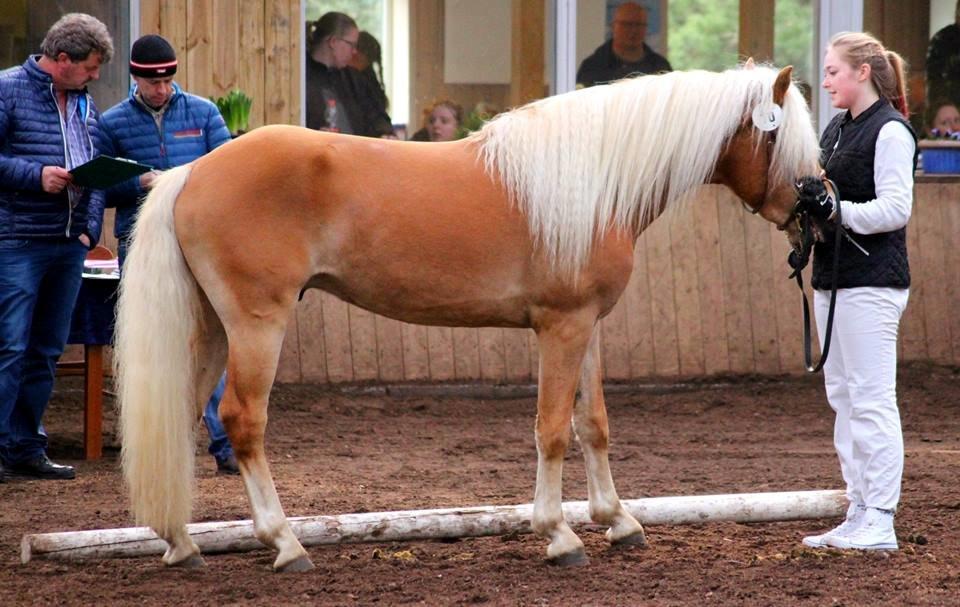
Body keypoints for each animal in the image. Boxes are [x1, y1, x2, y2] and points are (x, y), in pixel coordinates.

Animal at [112, 64, 816, 572]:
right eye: (780, 137)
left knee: (181, 414)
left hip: (210, 327)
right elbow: (552, 429)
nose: (818, 203)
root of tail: (189, 172)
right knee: (242, 421)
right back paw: (285, 543)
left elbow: (594, 425)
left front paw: (619, 521)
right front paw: (559, 535)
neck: (593, 184)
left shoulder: (587, 327)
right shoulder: (560, 327)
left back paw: (181, 543)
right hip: (256, 325)